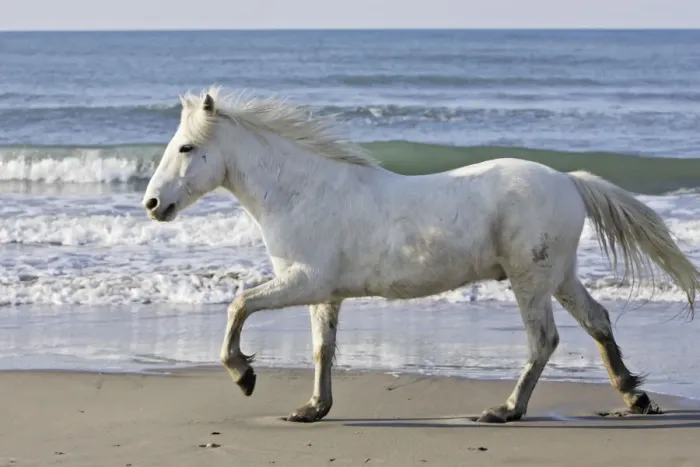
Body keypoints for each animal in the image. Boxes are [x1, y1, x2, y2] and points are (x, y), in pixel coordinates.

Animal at [142, 86, 700, 424]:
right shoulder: (325, 293)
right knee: (597, 320)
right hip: (558, 276)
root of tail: (568, 179)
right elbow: (323, 348)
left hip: (530, 279)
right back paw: (634, 396)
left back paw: (505, 410)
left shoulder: (304, 281)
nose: (152, 204)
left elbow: (239, 304)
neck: (302, 192)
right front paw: (313, 408)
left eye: (186, 147)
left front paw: (244, 375)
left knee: (544, 340)